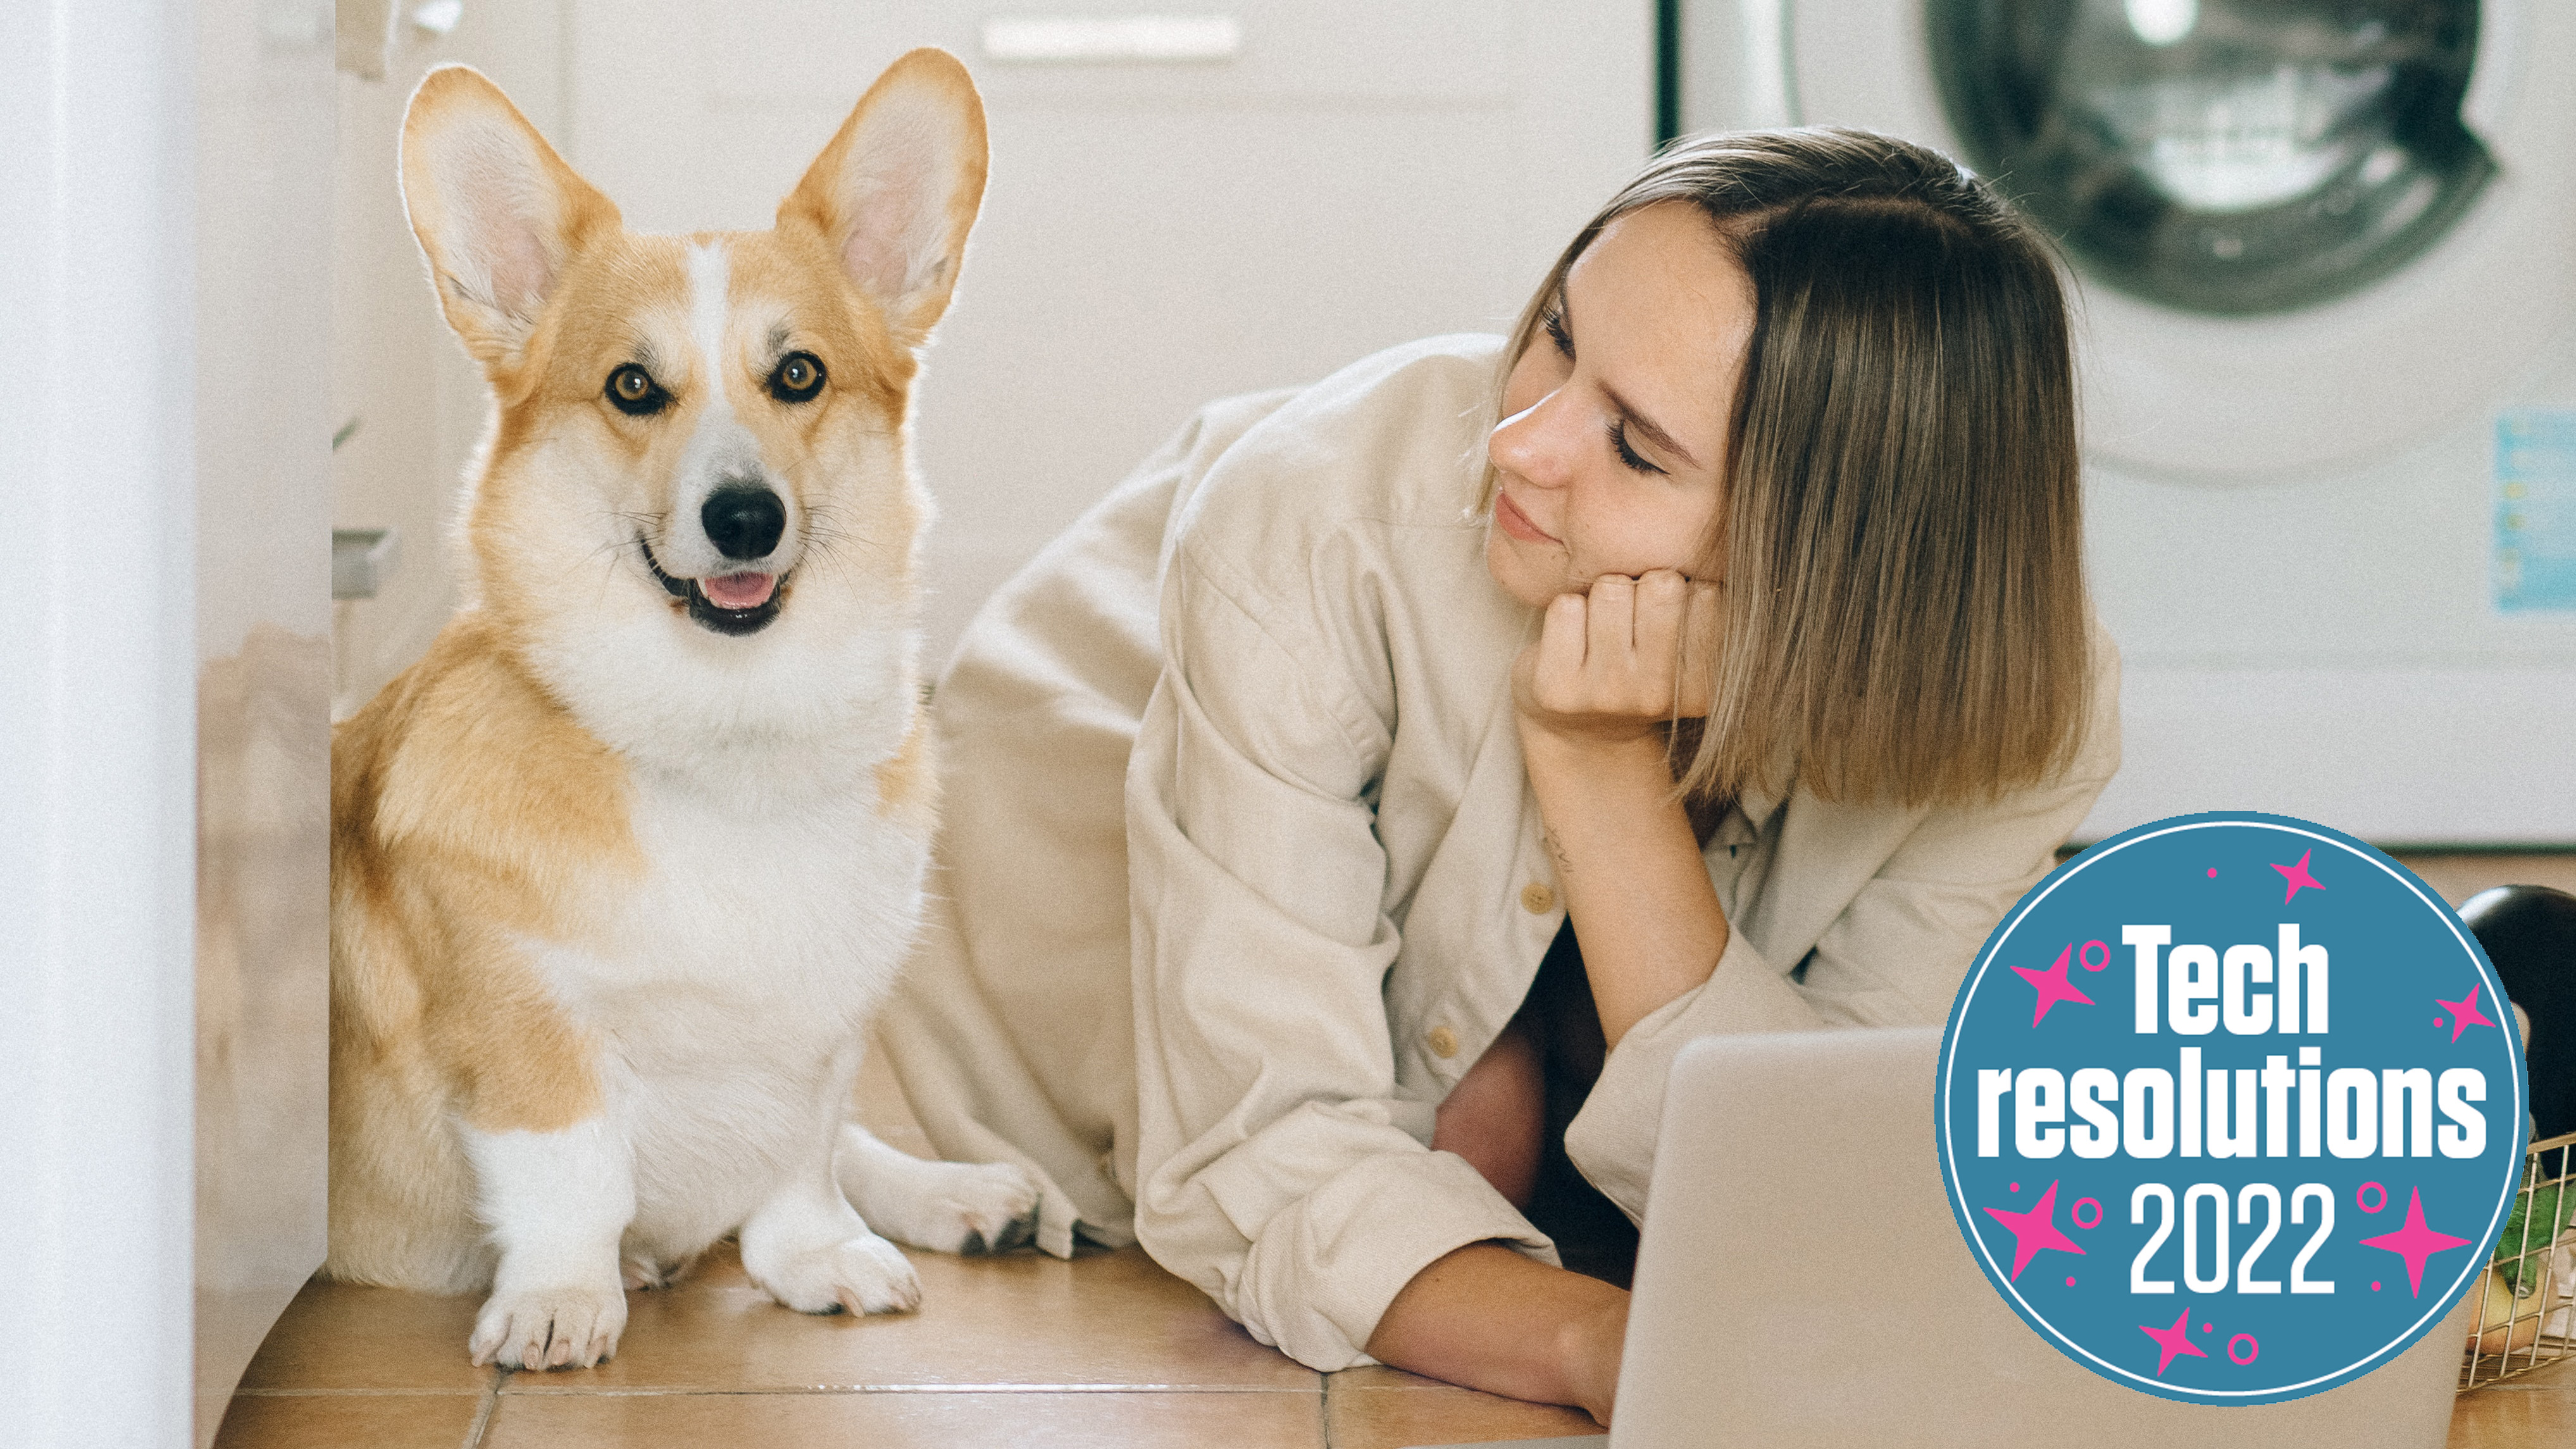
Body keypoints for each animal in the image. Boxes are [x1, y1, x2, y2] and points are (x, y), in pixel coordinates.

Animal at [330, 51, 1035, 1369]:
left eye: (798, 375)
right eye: (632, 388)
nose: (745, 518)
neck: (727, 742)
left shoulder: (825, 1028)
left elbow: (806, 1155)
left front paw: (816, 1257)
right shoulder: (526, 1029)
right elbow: (570, 1175)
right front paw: (563, 1300)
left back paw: (963, 1195)